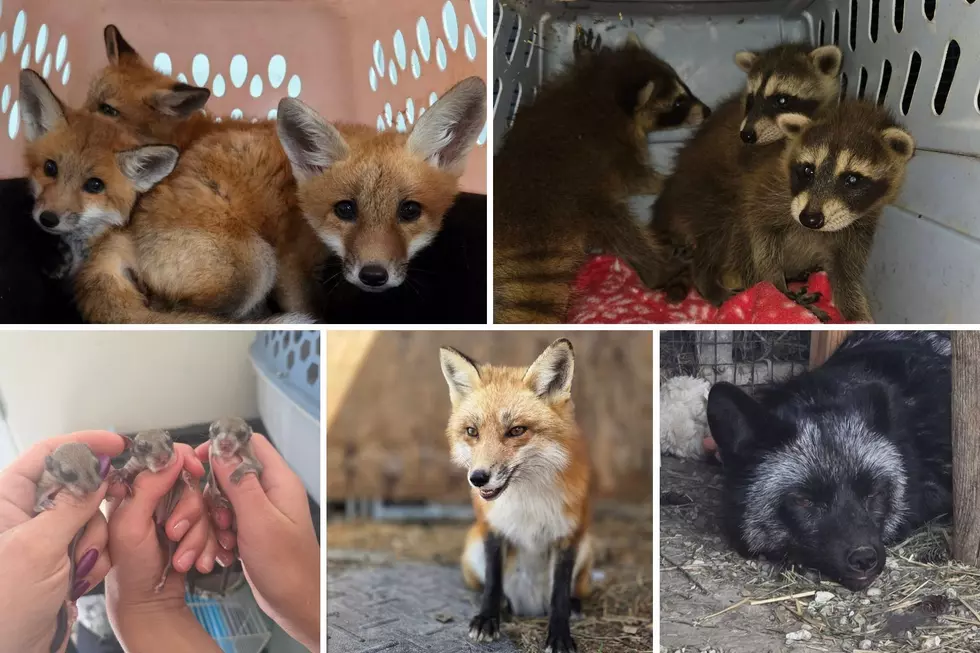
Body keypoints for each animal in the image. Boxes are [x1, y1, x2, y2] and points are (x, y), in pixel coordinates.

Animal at [439, 338, 593, 653]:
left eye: (516, 430)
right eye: (472, 431)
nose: (478, 478)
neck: (527, 501)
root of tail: (530, 606)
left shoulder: (568, 535)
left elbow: (559, 594)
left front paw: (560, 635)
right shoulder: (494, 529)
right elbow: (493, 581)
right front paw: (487, 619)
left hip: (586, 546)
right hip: (473, 546)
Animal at [493, 31, 709, 324]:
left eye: (684, 88)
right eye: (678, 103)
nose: (707, 111)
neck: (605, 87)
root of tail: (528, 226)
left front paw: (584, 53)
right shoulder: (618, 148)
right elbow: (637, 180)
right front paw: (664, 180)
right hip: (585, 202)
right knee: (621, 228)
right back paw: (658, 268)